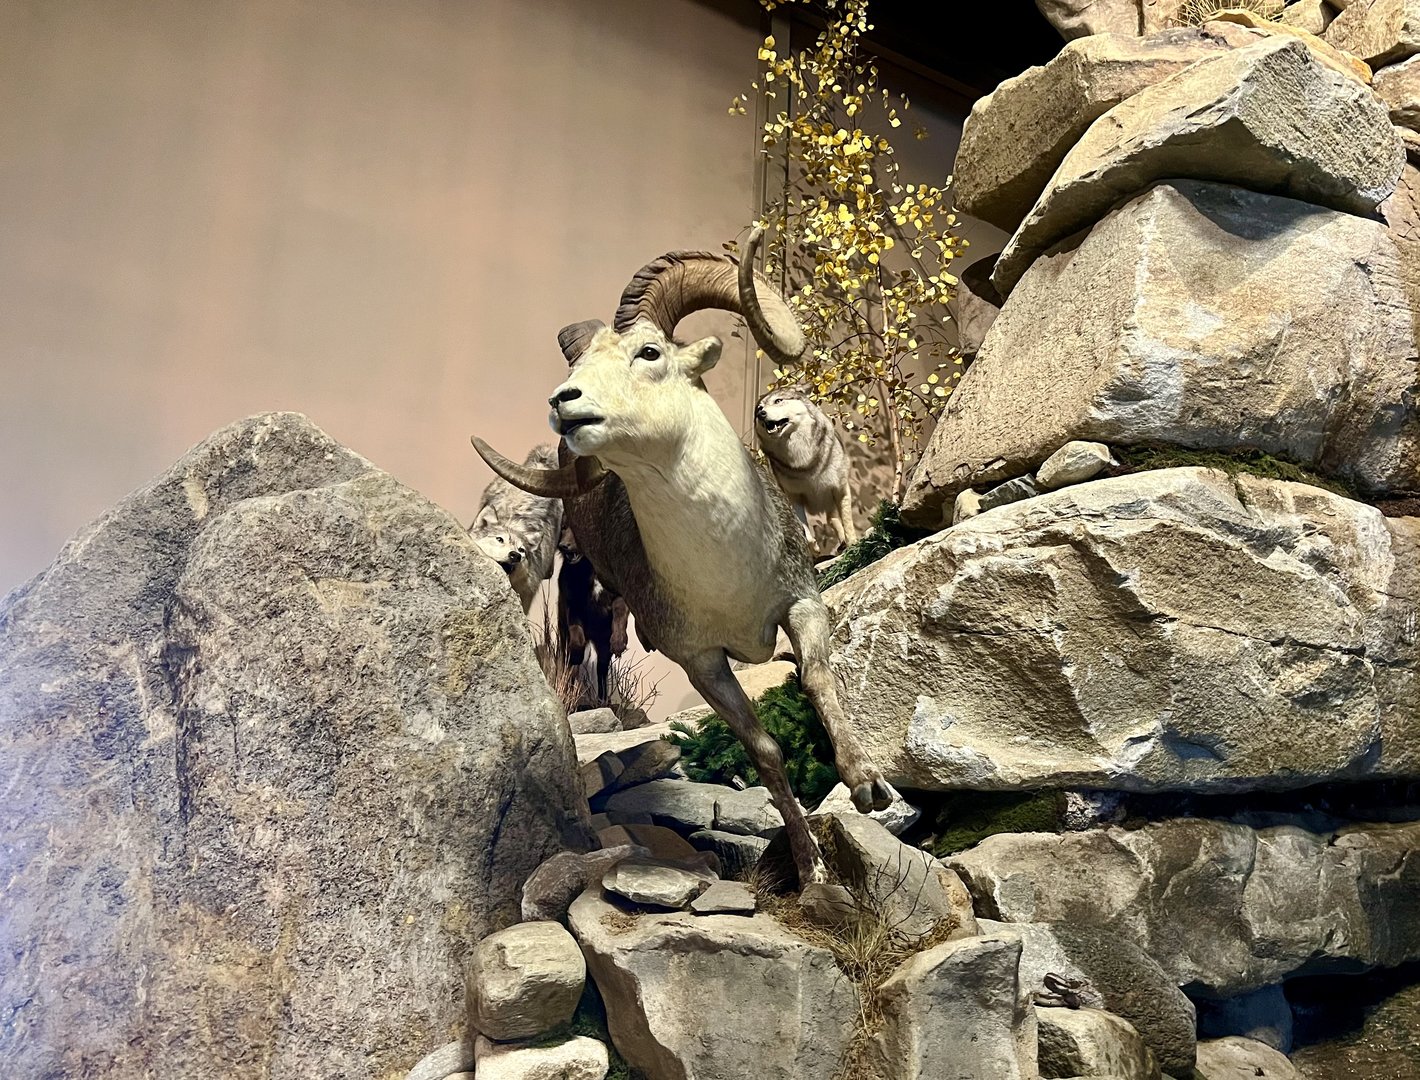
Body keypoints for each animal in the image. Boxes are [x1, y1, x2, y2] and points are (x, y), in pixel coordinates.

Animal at [754, 387, 858, 556]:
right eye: (759, 408)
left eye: (778, 401)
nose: (761, 414)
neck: (804, 460)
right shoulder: (794, 496)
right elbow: (803, 527)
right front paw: (813, 545)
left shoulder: (840, 489)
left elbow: (847, 522)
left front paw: (854, 543)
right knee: (832, 520)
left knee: (835, 520)